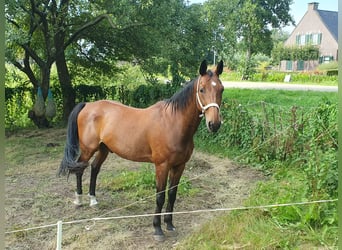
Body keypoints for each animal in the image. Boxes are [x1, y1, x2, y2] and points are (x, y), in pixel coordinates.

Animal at [58, 59, 224, 241]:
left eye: (221, 89)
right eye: (202, 89)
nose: (214, 124)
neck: (173, 122)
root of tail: (87, 105)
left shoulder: (180, 166)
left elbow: (172, 195)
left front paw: (170, 224)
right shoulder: (162, 166)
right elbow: (160, 196)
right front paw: (157, 229)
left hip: (104, 149)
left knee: (94, 169)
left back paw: (93, 200)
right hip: (88, 149)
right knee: (80, 169)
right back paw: (79, 200)